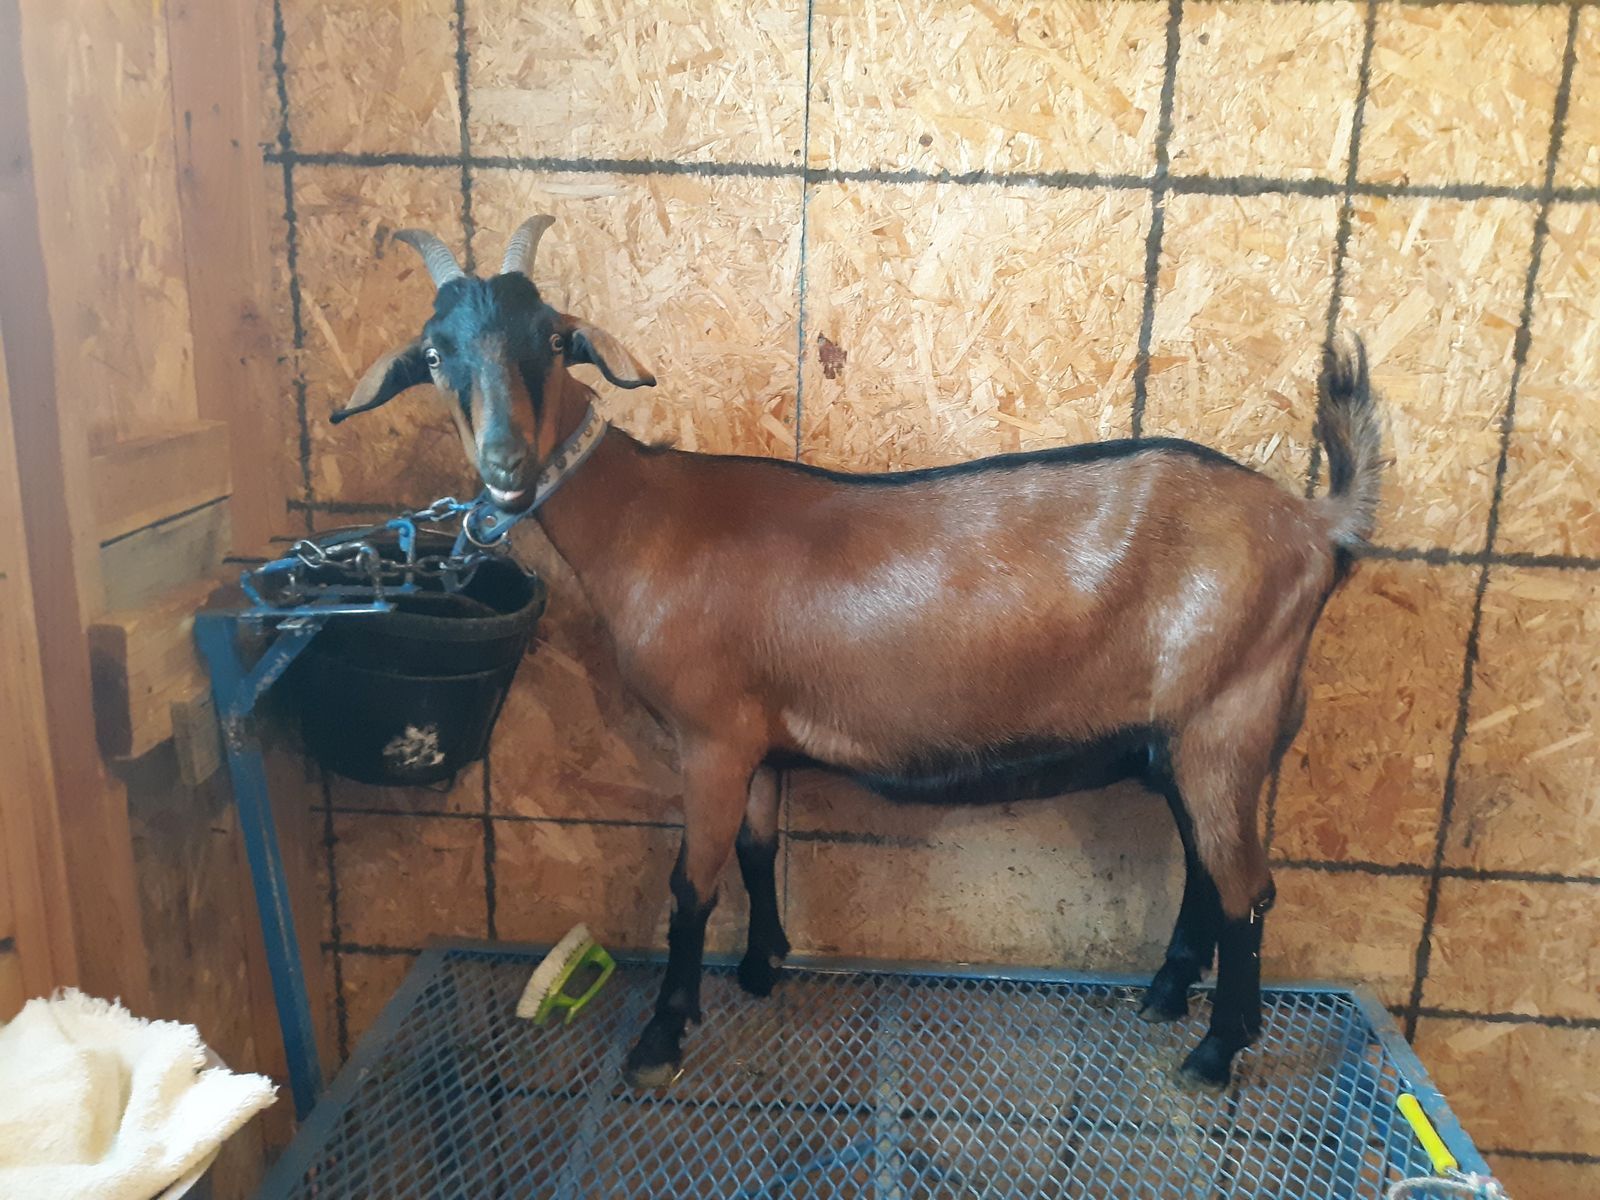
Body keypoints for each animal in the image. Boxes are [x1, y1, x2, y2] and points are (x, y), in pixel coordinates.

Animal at [334, 215, 1384, 1092]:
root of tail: (1314, 524)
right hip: (1188, 737)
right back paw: (1167, 998)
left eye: (553, 338)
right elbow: (756, 852)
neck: (644, 519)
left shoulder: (709, 736)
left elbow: (691, 884)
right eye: (436, 353)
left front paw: (663, 1034)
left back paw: (1214, 1052)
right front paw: (762, 969)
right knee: (1209, 870)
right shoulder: (754, 738)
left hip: (1227, 717)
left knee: (1249, 889)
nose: (507, 468)